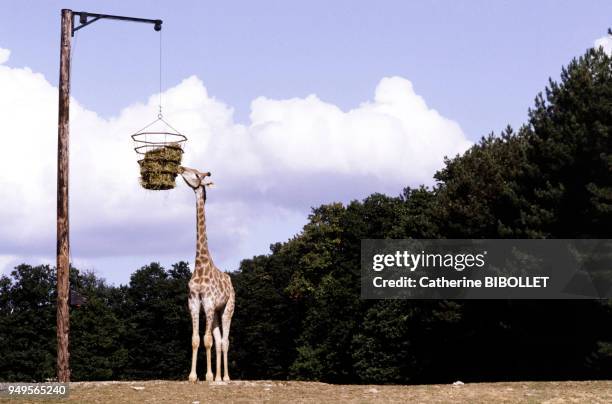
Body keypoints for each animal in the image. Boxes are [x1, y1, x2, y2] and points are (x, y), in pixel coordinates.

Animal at [178, 165, 235, 382]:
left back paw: (225, 378)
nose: (180, 167)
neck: (200, 265)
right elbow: (196, 339)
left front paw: (208, 376)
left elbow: (207, 339)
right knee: (219, 340)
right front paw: (193, 376)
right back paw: (219, 377)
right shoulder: (194, 302)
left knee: (225, 341)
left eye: (197, 174)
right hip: (217, 312)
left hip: (228, 308)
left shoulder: (209, 303)